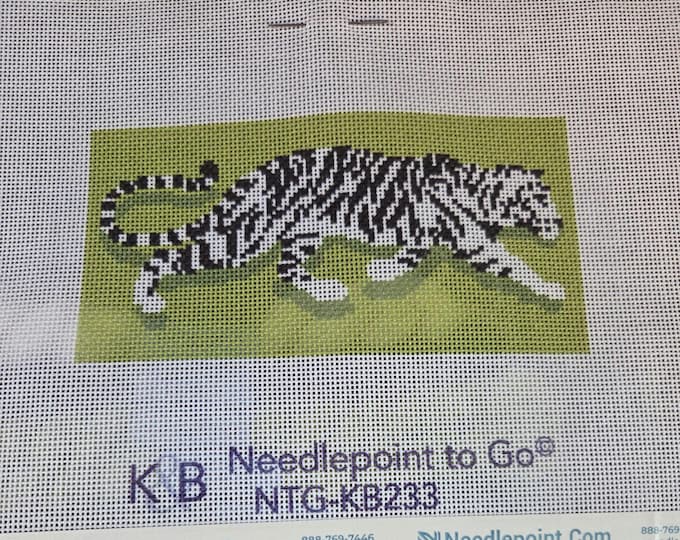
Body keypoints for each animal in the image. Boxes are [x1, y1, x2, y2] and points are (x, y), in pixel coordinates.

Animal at [99, 146, 565, 314]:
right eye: (542, 201)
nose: (560, 223)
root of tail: (254, 174)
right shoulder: (465, 239)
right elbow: (512, 263)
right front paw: (552, 288)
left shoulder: (432, 238)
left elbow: (409, 259)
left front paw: (379, 273)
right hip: (244, 239)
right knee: (163, 257)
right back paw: (147, 301)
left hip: (303, 234)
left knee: (287, 270)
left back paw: (329, 291)